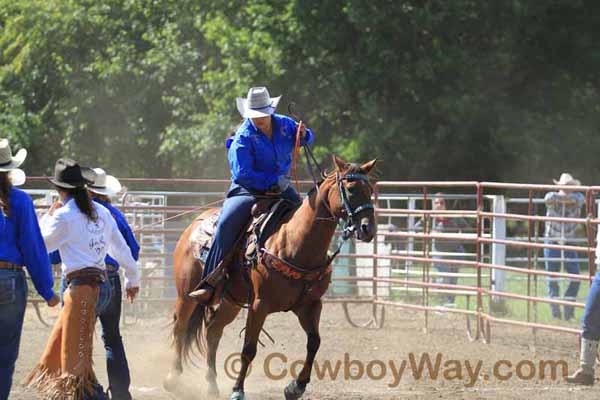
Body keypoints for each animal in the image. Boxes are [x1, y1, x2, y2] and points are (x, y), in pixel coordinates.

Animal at [164, 156, 378, 400]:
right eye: (351, 189)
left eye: (370, 189)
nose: (368, 229)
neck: (294, 243)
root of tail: (193, 225)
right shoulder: (259, 305)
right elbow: (249, 348)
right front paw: (237, 390)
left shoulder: (310, 305)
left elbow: (314, 342)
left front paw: (296, 387)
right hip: (186, 295)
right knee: (180, 327)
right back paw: (173, 379)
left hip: (230, 302)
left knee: (213, 332)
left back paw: (211, 385)